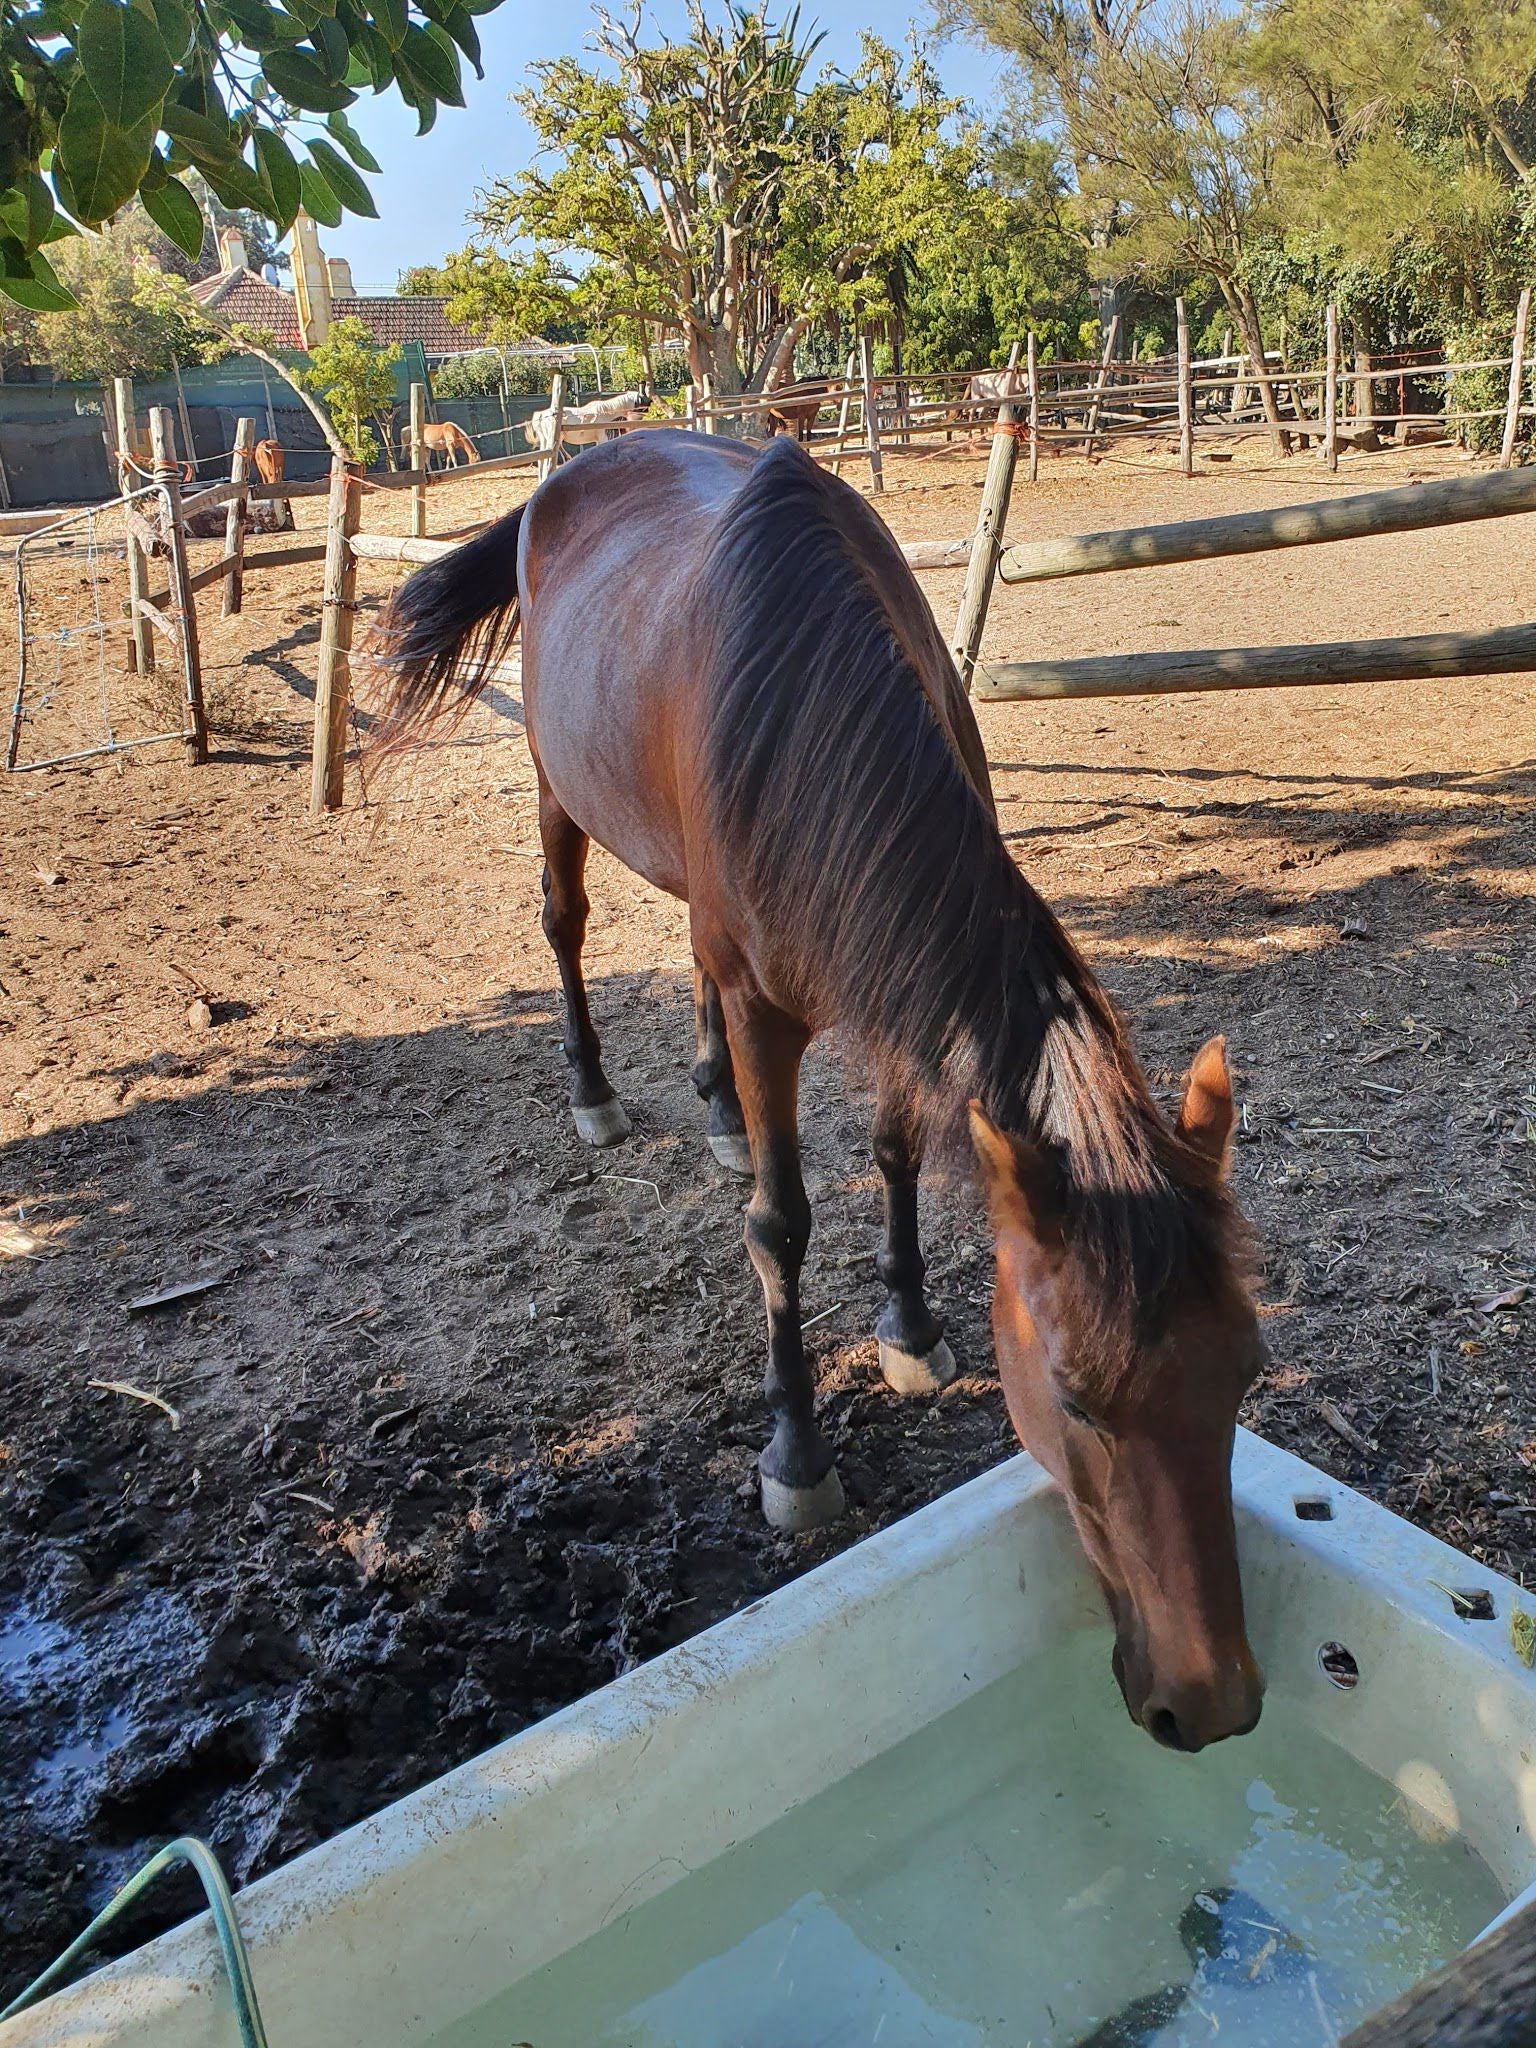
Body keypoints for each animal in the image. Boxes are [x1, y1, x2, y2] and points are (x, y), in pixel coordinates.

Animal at [378, 428, 1269, 1744]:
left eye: (1245, 1369)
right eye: (1075, 1398)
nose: (1214, 1702)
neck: (811, 709)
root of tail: (571, 472)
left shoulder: (885, 986)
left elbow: (896, 1154)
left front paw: (908, 1326)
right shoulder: (768, 1010)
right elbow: (782, 1223)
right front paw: (795, 1452)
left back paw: (713, 1110)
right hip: (555, 790)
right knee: (567, 920)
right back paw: (597, 1090)